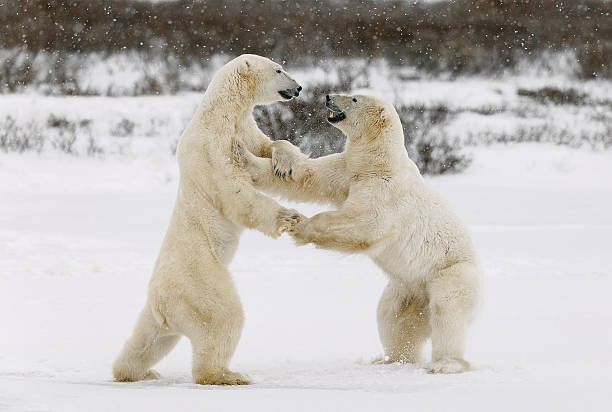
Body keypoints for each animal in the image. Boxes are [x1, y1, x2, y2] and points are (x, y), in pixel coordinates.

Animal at [111, 53, 306, 384]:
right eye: (279, 70)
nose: (299, 87)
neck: (221, 114)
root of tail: (163, 304)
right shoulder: (211, 147)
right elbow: (235, 192)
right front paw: (289, 216)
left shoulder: (245, 127)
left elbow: (267, 146)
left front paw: (284, 163)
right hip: (199, 282)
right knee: (223, 317)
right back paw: (227, 375)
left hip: (158, 312)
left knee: (148, 340)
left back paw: (136, 371)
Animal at [234, 93, 478, 374]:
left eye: (354, 98)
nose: (328, 96)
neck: (379, 161)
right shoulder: (347, 170)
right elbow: (308, 177)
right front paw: (243, 153)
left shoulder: (385, 188)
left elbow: (366, 222)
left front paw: (301, 227)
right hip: (405, 288)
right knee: (393, 317)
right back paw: (390, 359)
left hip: (450, 273)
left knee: (448, 311)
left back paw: (445, 364)